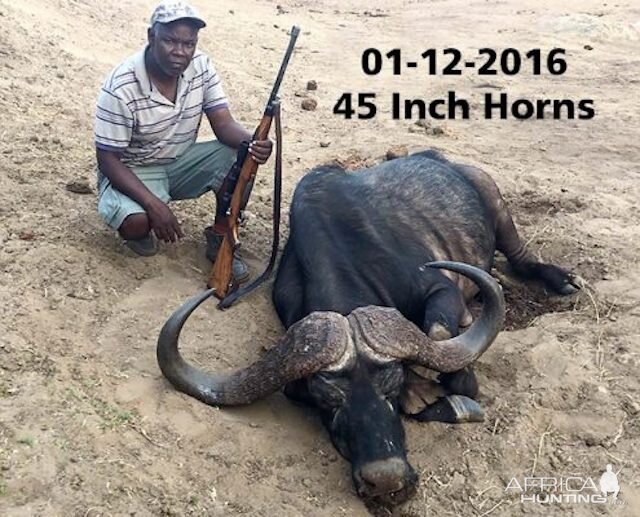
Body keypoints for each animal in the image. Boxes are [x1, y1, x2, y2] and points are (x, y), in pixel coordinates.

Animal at [157, 150, 579, 505]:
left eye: (390, 385)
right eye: (327, 401)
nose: (387, 481)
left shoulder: (438, 287)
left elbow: (443, 342)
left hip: (495, 201)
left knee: (521, 257)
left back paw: (563, 280)